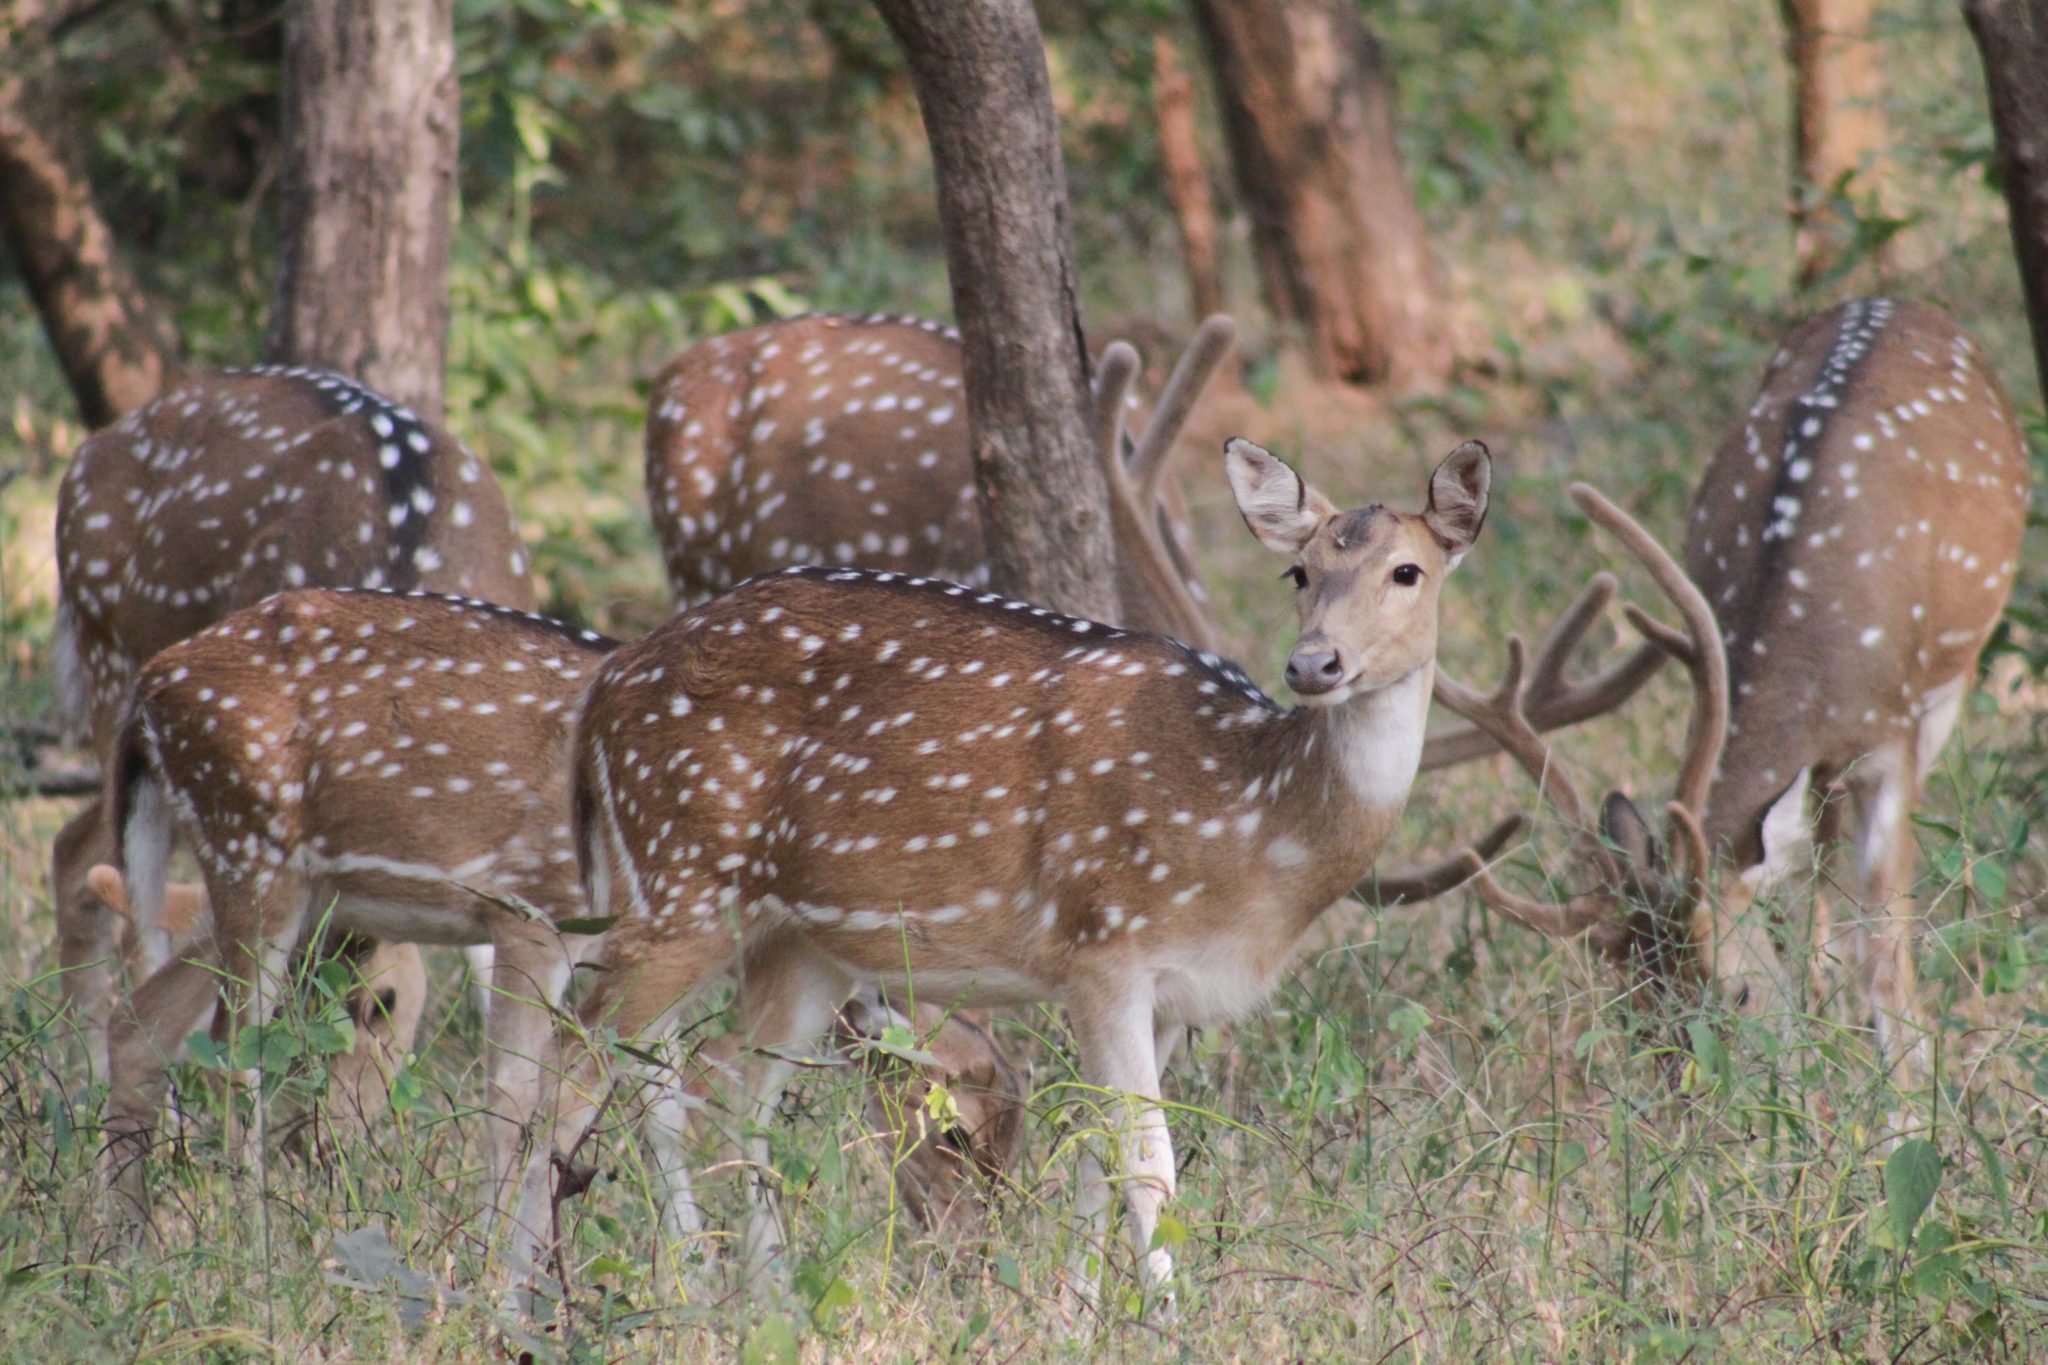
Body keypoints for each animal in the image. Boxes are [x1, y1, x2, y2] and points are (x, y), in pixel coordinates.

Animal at [57, 368, 536, 1080]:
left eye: (386, 1007)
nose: (340, 1115)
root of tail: (83, 457)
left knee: (74, 847)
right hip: (111, 665)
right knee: (128, 908)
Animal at [536, 439, 1499, 1309]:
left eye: (1408, 571)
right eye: (1297, 571)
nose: (1313, 663)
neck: (1254, 834)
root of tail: (604, 689)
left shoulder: (1170, 995)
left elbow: (1094, 1150)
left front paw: (1076, 1316)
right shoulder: (1105, 945)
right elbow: (1147, 1163)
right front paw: (1165, 1321)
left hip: (799, 945)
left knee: (725, 1092)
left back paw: (757, 1304)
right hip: (680, 880)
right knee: (573, 1065)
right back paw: (534, 1293)